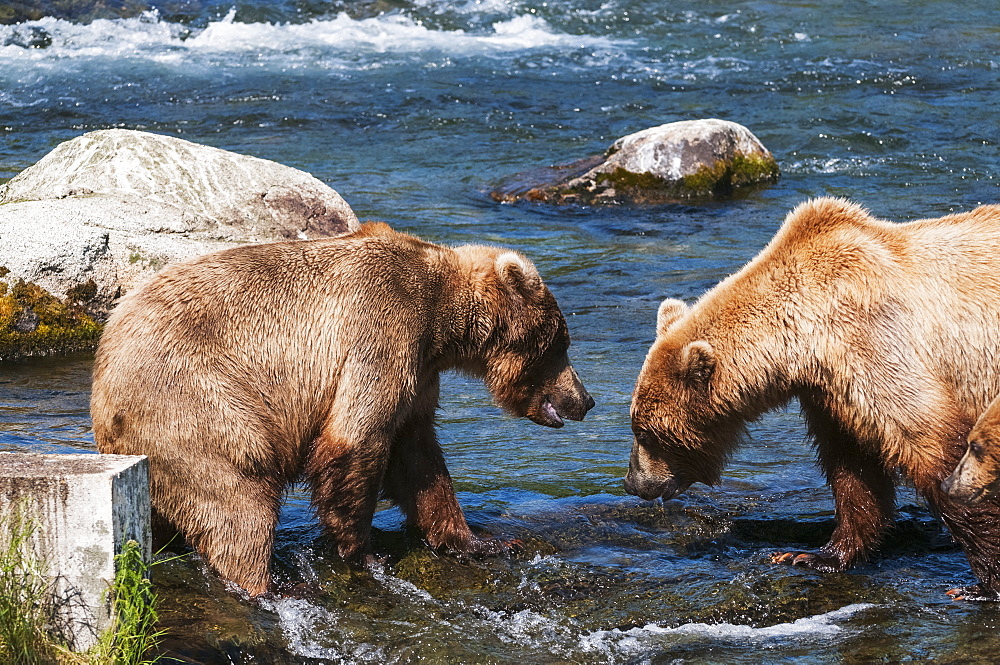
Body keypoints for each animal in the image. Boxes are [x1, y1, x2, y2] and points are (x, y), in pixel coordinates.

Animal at [92, 223, 592, 596]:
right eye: (561, 342)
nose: (585, 399)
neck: (445, 321)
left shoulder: (420, 373)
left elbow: (419, 459)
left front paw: (479, 541)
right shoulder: (384, 330)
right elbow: (356, 440)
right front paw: (364, 552)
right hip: (199, 404)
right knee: (239, 498)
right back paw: (269, 585)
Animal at [628, 195, 1000, 600]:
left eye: (645, 433)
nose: (634, 483)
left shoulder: (874, 343)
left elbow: (932, 445)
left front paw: (983, 582)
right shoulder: (831, 391)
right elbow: (853, 469)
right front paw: (811, 555)